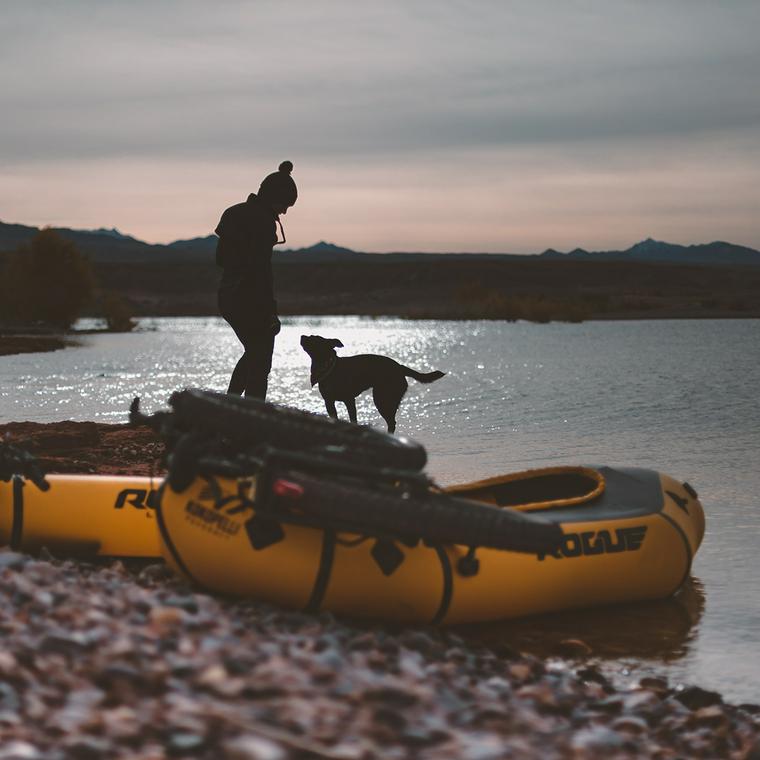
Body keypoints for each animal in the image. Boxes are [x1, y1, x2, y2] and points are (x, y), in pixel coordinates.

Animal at [300, 334, 446, 434]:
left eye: (314, 339)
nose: (302, 336)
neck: (329, 367)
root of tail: (399, 367)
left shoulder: (349, 400)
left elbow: (353, 419)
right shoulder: (329, 402)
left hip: (382, 399)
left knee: (392, 422)